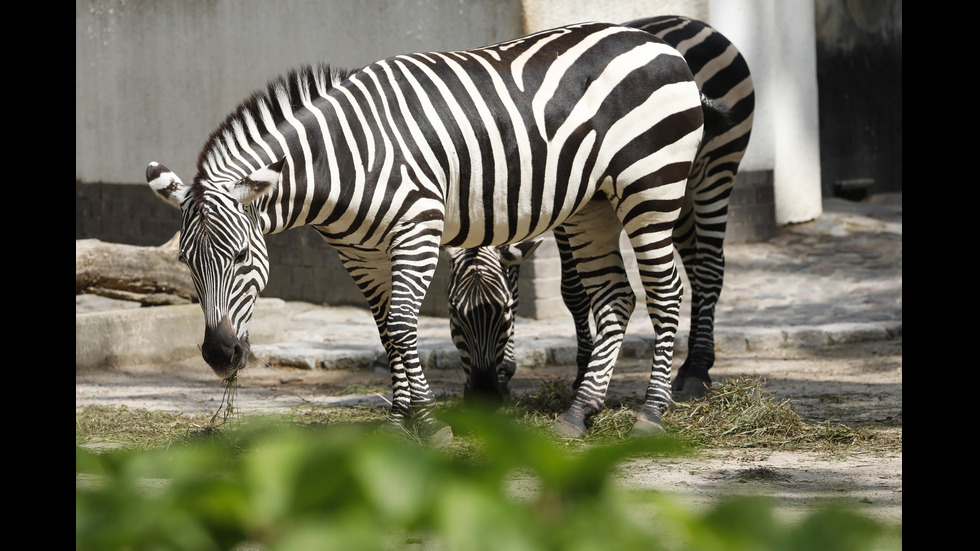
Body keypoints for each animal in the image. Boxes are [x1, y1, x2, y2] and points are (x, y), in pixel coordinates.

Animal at [145, 22, 704, 444]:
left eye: (242, 257)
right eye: (185, 264)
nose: (221, 358)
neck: (340, 163)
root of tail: (650, 39)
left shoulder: (418, 230)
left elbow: (402, 325)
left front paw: (430, 425)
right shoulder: (359, 254)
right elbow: (386, 332)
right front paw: (399, 422)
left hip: (652, 185)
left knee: (666, 292)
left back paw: (651, 414)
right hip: (593, 206)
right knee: (615, 298)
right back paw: (578, 414)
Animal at [446, 16, 756, 414]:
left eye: (502, 314)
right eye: (455, 315)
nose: (480, 398)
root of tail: (689, 20)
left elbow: (574, 291)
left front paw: (582, 372)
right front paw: (508, 372)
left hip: (717, 170)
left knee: (709, 268)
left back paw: (698, 370)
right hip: (673, 192)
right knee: (694, 264)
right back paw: (690, 364)